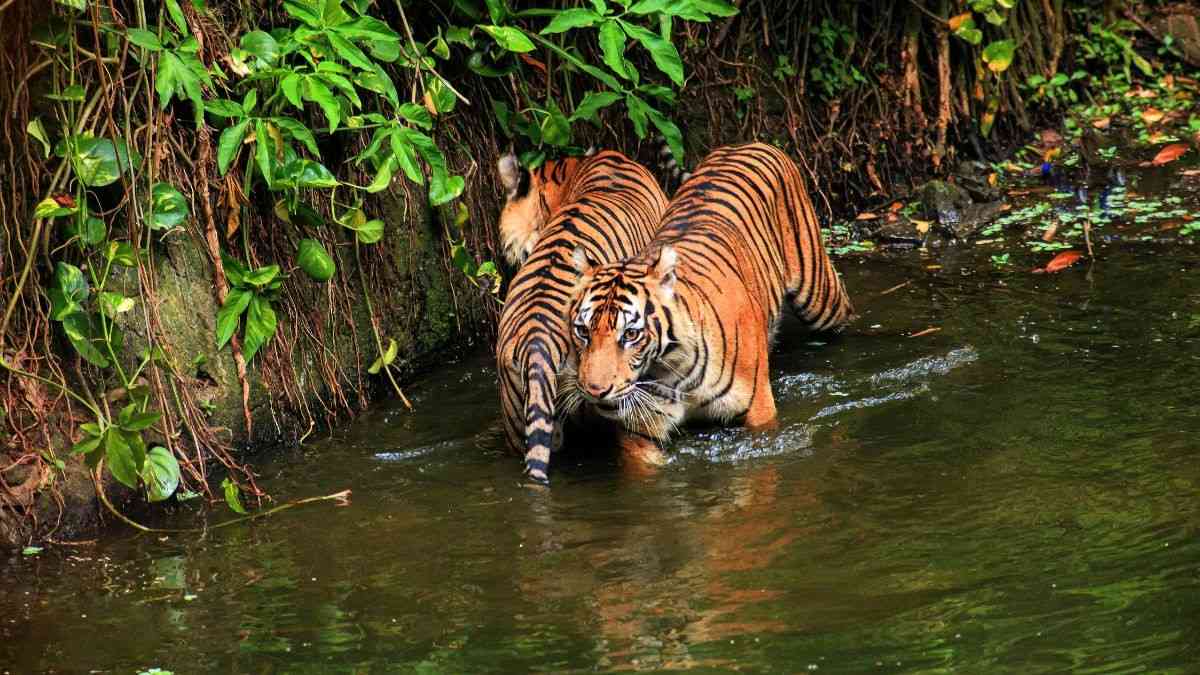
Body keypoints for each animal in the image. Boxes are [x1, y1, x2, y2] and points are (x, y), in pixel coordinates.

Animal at [560, 142, 855, 456]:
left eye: (630, 334)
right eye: (582, 331)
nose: (594, 391)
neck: (671, 370)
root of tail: (748, 143)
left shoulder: (758, 412)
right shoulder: (640, 429)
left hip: (819, 297)